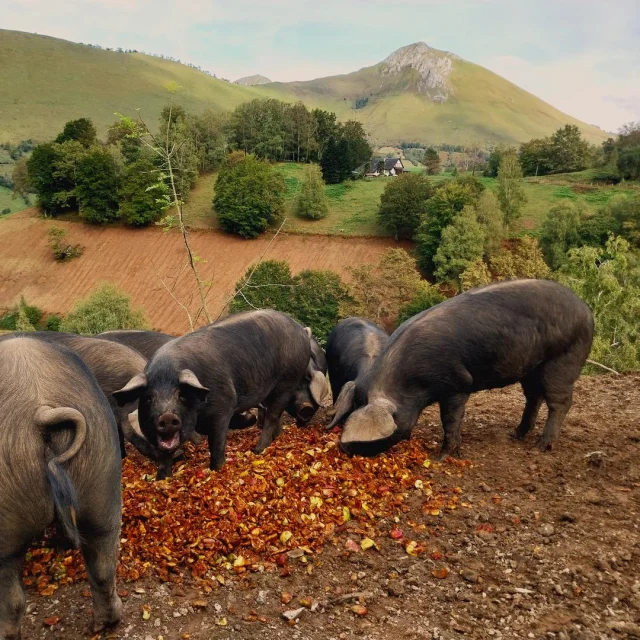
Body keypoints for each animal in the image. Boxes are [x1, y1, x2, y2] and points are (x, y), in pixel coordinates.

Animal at [112, 308, 330, 478]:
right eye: (148, 398)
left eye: (181, 395)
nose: (166, 416)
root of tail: (301, 330)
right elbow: (165, 455)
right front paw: (162, 479)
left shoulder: (224, 404)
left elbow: (216, 443)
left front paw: (216, 470)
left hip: (286, 380)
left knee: (273, 415)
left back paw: (257, 450)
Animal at [340, 280, 596, 456]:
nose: (343, 449)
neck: (409, 382)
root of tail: (587, 311)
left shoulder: (457, 384)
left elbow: (450, 418)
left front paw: (442, 456)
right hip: (532, 367)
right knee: (534, 397)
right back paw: (516, 434)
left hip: (563, 359)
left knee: (560, 402)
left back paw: (542, 446)